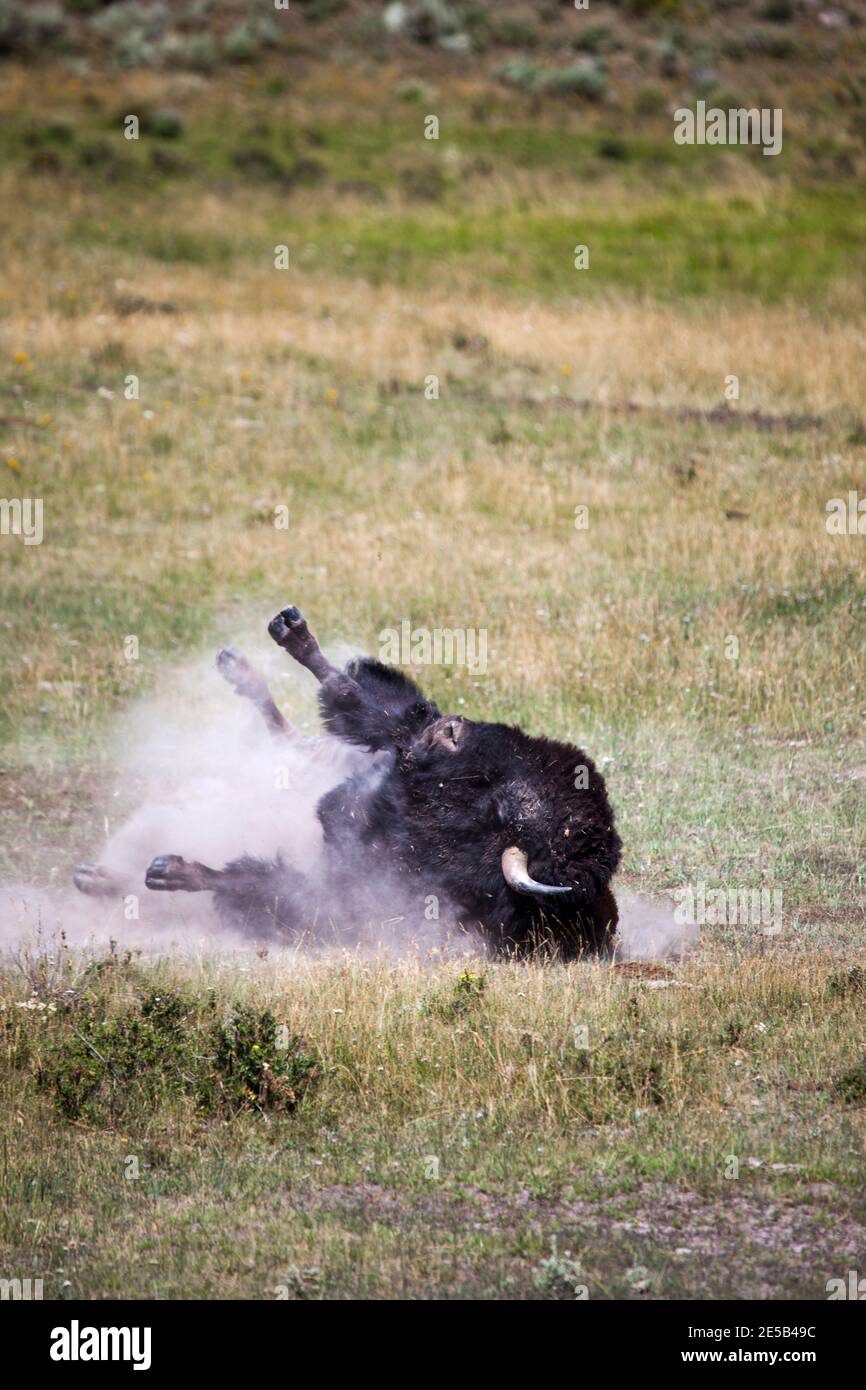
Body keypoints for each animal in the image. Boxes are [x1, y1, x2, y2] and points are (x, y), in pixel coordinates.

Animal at [74, 606, 619, 956]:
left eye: (505, 807)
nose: (450, 729)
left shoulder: (343, 884)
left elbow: (259, 881)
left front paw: (170, 871)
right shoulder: (393, 742)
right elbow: (361, 700)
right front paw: (292, 632)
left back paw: (103, 878)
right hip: (332, 755)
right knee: (294, 730)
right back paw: (247, 662)